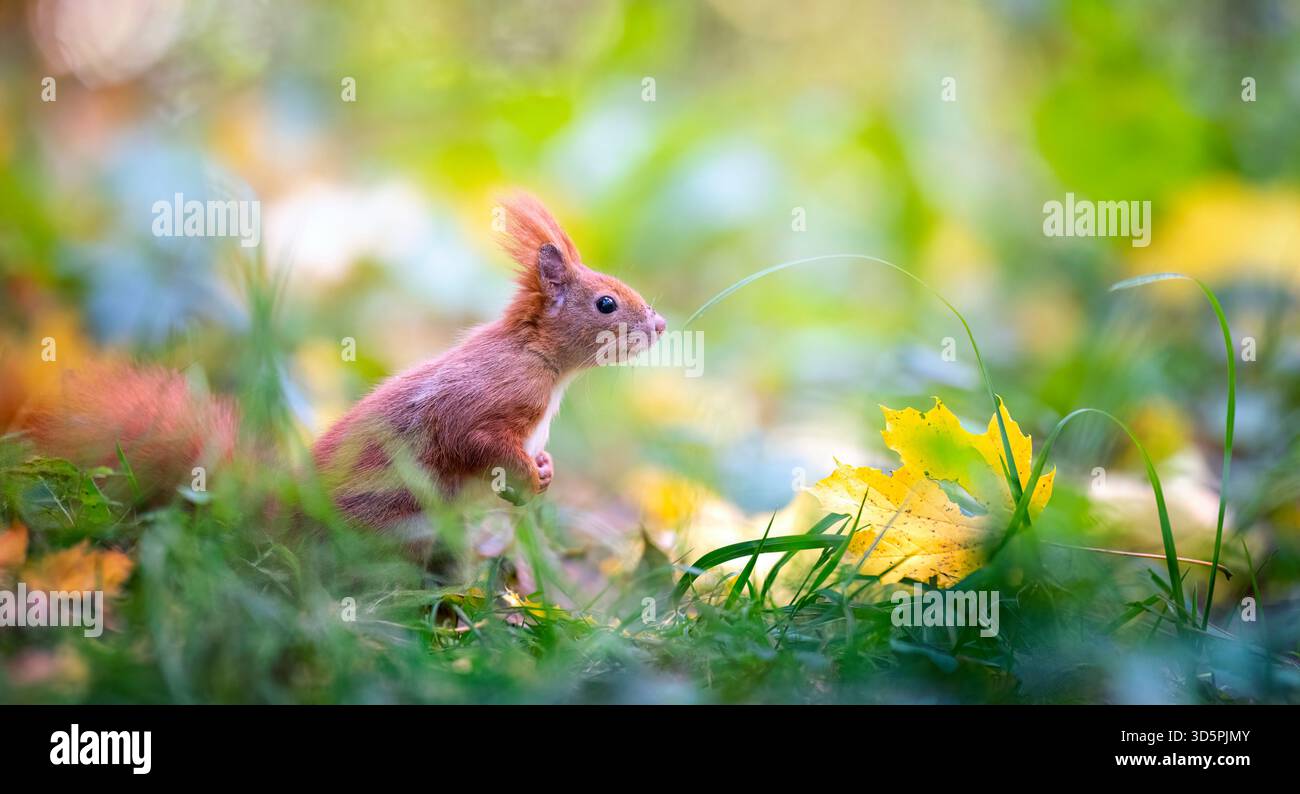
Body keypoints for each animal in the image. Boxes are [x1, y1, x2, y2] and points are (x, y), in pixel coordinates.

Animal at [16, 193, 665, 544]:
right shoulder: (483, 402)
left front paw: (544, 473)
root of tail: (275, 517)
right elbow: (477, 440)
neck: (544, 362)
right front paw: (527, 481)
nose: (659, 326)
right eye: (606, 304)